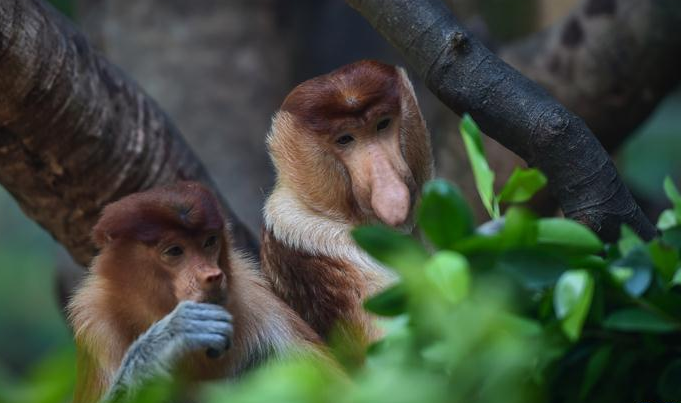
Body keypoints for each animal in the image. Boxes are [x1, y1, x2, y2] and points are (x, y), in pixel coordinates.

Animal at [67, 184, 322, 403]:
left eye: (209, 241)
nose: (212, 276)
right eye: (174, 251)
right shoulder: (95, 324)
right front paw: (169, 338)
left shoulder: (258, 302)